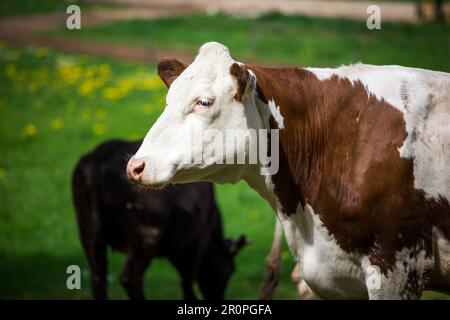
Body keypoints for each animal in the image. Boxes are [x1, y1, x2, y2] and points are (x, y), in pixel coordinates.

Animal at [71, 140, 248, 300]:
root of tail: (102, 153)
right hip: (147, 235)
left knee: (98, 278)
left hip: (86, 232)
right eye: (230, 270)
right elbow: (188, 279)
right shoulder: (199, 238)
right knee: (130, 278)